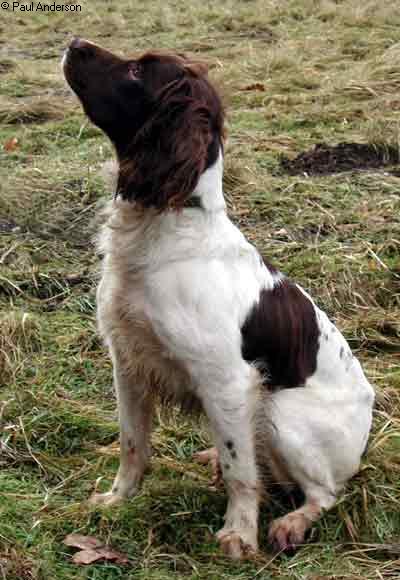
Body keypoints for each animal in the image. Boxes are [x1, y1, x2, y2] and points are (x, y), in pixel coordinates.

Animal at [62, 38, 376, 560]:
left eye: (137, 71)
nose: (73, 42)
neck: (166, 222)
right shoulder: (128, 362)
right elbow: (133, 443)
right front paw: (117, 499)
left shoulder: (227, 380)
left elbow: (239, 472)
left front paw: (238, 534)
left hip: (281, 413)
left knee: (325, 492)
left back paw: (291, 523)